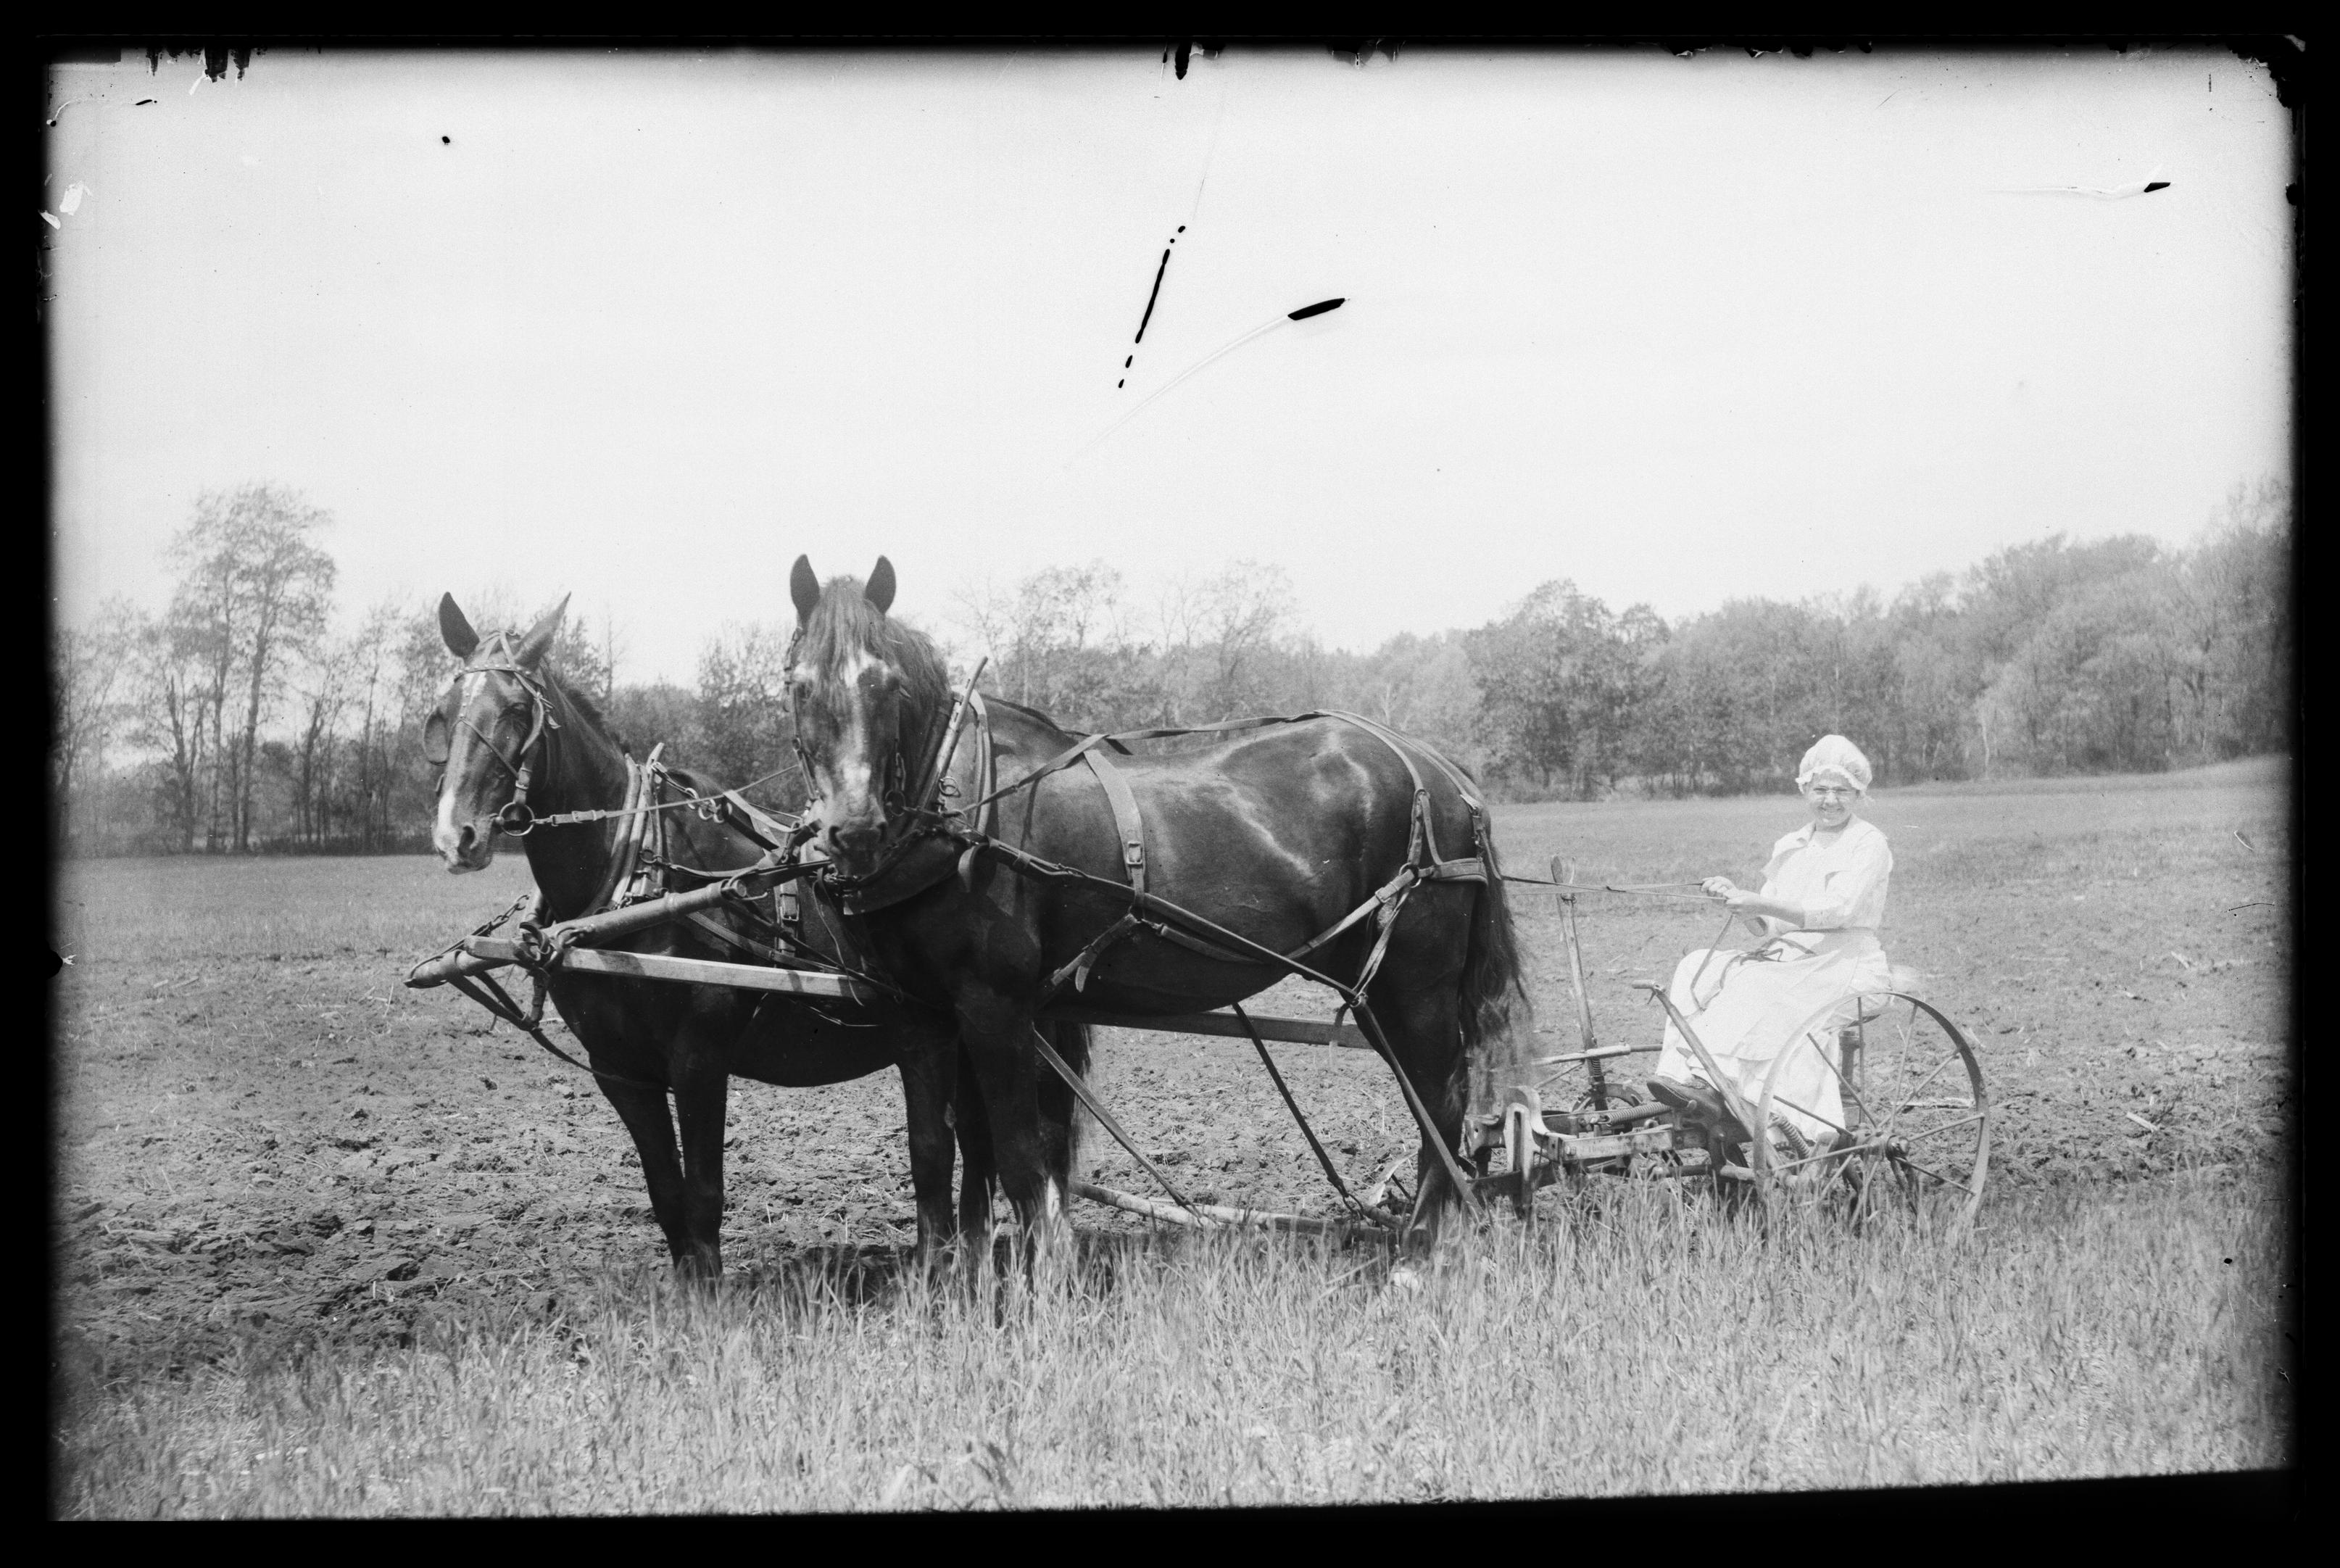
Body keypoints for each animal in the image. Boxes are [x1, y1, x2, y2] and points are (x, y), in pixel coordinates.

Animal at [423, 592, 1088, 1276]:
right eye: (442, 714)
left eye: (518, 710)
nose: (456, 835)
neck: (631, 880)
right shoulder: (620, 1070)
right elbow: (666, 1196)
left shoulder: (699, 1054)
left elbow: (704, 1193)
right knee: (983, 1144)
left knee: (1024, 1140)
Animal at [782, 557, 1528, 1254]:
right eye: (799, 686)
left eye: (887, 685)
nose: (854, 828)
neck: (956, 815)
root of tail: (1442, 771)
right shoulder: (919, 1014)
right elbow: (933, 1156)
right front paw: (944, 1285)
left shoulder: (996, 1004)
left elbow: (1020, 1159)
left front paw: (1040, 1282)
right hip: (1377, 988)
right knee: (1430, 1101)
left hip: (1416, 982)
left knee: (1441, 1098)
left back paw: (1421, 1248)